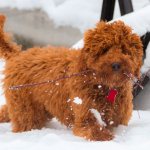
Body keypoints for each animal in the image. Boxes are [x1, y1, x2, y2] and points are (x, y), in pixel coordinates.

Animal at [0, 14, 142, 141]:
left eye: (124, 50)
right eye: (104, 49)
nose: (116, 65)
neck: (103, 85)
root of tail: (17, 55)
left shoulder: (119, 118)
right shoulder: (85, 114)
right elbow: (93, 130)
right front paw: (106, 137)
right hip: (27, 110)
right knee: (25, 121)